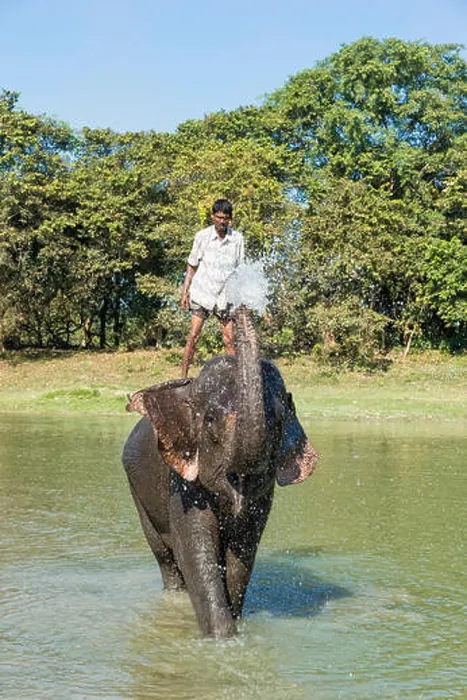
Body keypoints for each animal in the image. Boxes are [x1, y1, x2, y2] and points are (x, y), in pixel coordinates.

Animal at [122, 306, 318, 638]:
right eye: (211, 420)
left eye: (279, 421)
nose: (241, 308)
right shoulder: (182, 481)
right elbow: (196, 548)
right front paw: (222, 639)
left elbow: (242, 554)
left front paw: (236, 627)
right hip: (136, 491)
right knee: (165, 557)